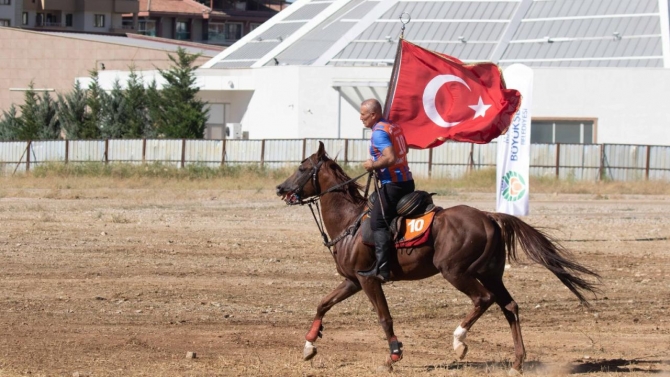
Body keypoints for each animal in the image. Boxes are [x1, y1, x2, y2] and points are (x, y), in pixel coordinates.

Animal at [276, 141, 600, 374]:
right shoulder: (352, 281)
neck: (350, 222)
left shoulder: (369, 280)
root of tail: (489, 217)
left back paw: (459, 342)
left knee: (483, 300)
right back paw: (517, 362)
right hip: (490, 273)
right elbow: (323, 304)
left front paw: (394, 356)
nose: (280, 188)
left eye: (303, 168)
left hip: (456, 272)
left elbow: (384, 317)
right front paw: (309, 346)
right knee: (510, 306)